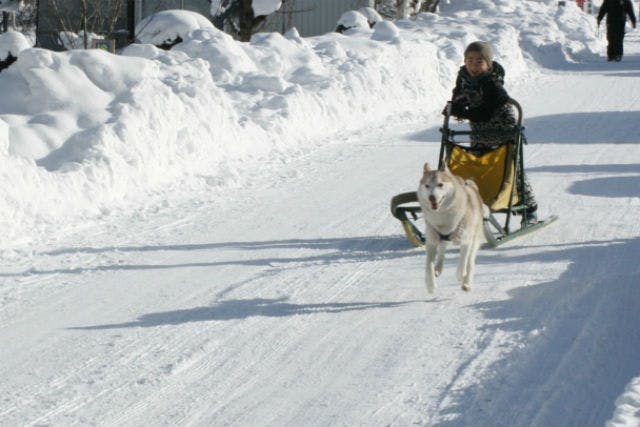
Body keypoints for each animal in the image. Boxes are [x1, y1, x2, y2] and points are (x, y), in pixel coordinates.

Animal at [418, 164, 482, 294]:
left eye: (440, 184)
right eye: (427, 185)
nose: (431, 197)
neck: (442, 217)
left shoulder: (466, 241)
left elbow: (463, 262)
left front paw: (460, 276)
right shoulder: (431, 242)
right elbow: (428, 264)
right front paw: (430, 285)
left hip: (474, 239)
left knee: (470, 261)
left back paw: (466, 283)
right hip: (441, 239)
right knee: (442, 251)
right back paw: (438, 268)